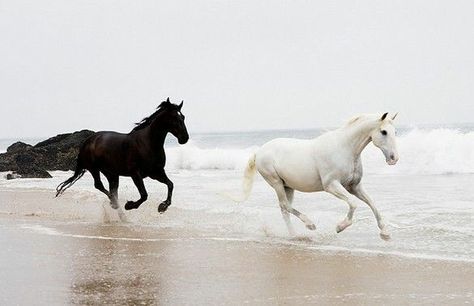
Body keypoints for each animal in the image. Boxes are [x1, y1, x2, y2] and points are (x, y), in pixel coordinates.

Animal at [55, 98, 189, 213]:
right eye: (174, 118)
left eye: (183, 117)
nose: (185, 138)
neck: (148, 143)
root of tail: (88, 140)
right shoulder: (135, 173)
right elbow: (144, 195)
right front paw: (129, 205)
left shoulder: (156, 172)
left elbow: (170, 184)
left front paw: (163, 206)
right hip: (94, 168)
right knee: (99, 185)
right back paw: (114, 203)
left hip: (111, 173)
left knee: (112, 188)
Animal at [235, 112, 398, 239]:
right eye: (384, 132)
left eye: (395, 132)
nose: (394, 158)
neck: (345, 148)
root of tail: (259, 151)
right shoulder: (331, 185)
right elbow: (353, 203)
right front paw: (340, 227)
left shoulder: (354, 186)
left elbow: (372, 203)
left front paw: (385, 233)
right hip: (276, 183)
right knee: (285, 206)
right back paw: (310, 225)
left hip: (287, 186)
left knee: (285, 210)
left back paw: (294, 235)